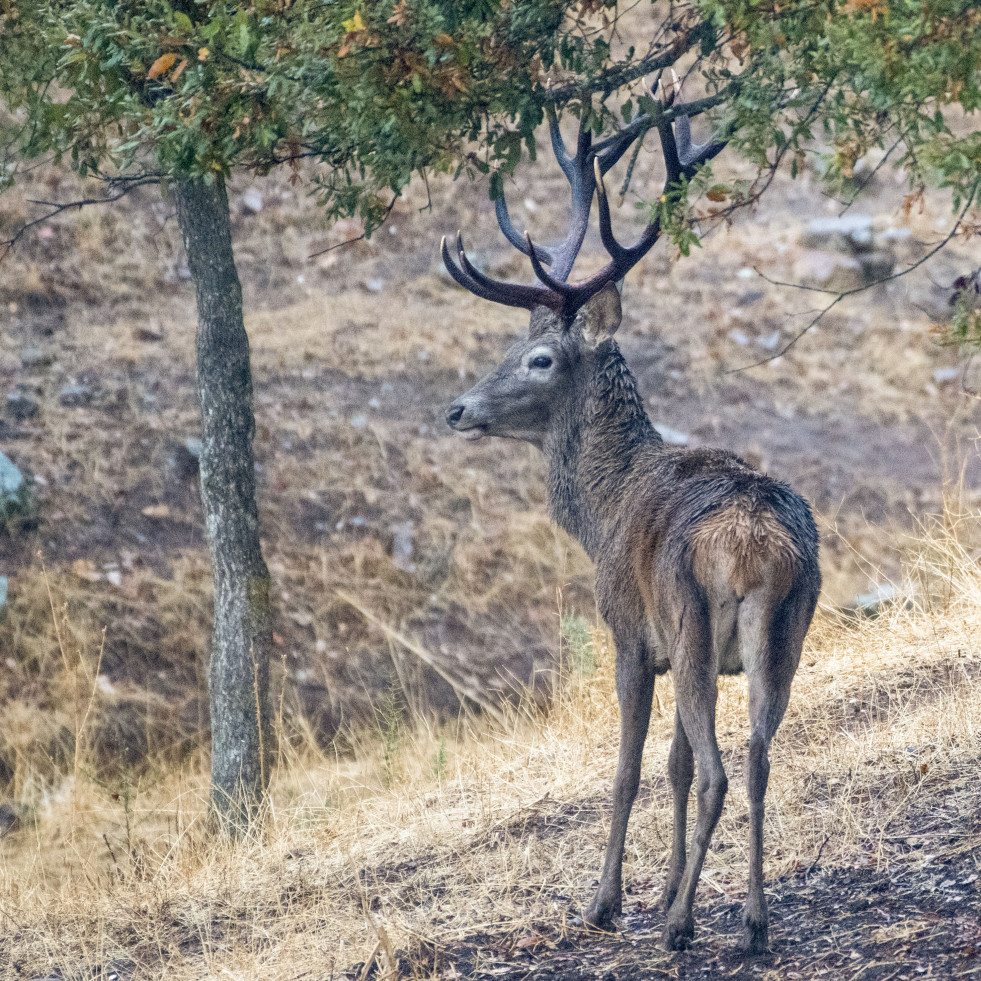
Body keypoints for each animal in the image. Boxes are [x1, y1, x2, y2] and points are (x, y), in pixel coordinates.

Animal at [442, 86, 820, 956]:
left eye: (539, 358)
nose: (458, 409)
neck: (602, 509)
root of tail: (751, 545)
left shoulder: (628, 631)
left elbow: (627, 768)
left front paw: (609, 900)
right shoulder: (687, 649)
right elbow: (673, 765)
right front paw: (669, 887)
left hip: (688, 617)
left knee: (718, 768)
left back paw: (681, 926)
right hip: (782, 629)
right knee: (756, 756)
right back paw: (751, 919)